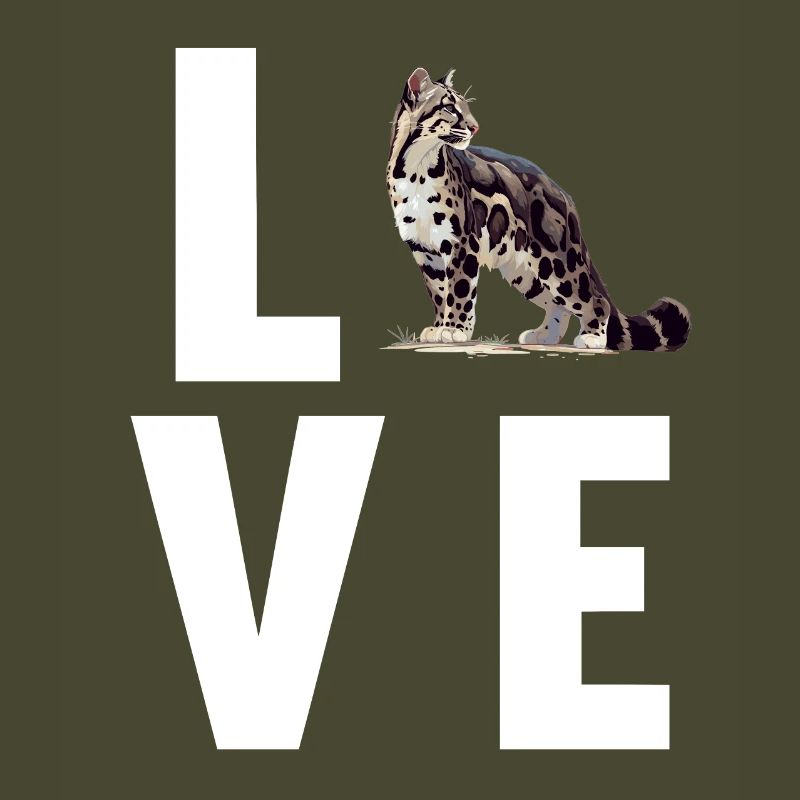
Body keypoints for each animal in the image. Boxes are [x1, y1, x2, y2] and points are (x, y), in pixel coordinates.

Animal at [386, 67, 691, 351]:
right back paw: (545, 336)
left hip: (557, 262)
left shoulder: (461, 243)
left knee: (594, 299)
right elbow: (439, 293)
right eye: (449, 107)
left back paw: (592, 337)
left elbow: (459, 290)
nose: (475, 127)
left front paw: (454, 330)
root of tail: (561, 192)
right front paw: (439, 327)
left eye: (467, 107)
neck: (416, 170)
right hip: (527, 270)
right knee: (558, 305)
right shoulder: (425, 250)